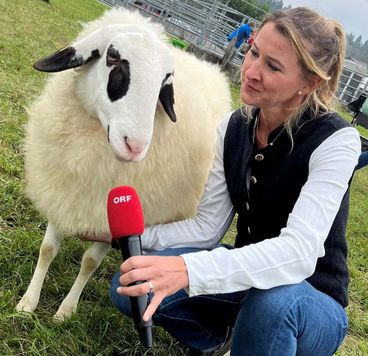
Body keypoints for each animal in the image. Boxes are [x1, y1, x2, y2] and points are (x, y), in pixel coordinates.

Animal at [17, 7, 231, 320]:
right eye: (113, 57)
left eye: (165, 80)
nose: (135, 146)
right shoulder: (63, 190)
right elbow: (47, 249)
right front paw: (27, 303)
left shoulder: (108, 222)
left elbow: (89, 262)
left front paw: (65, 311)